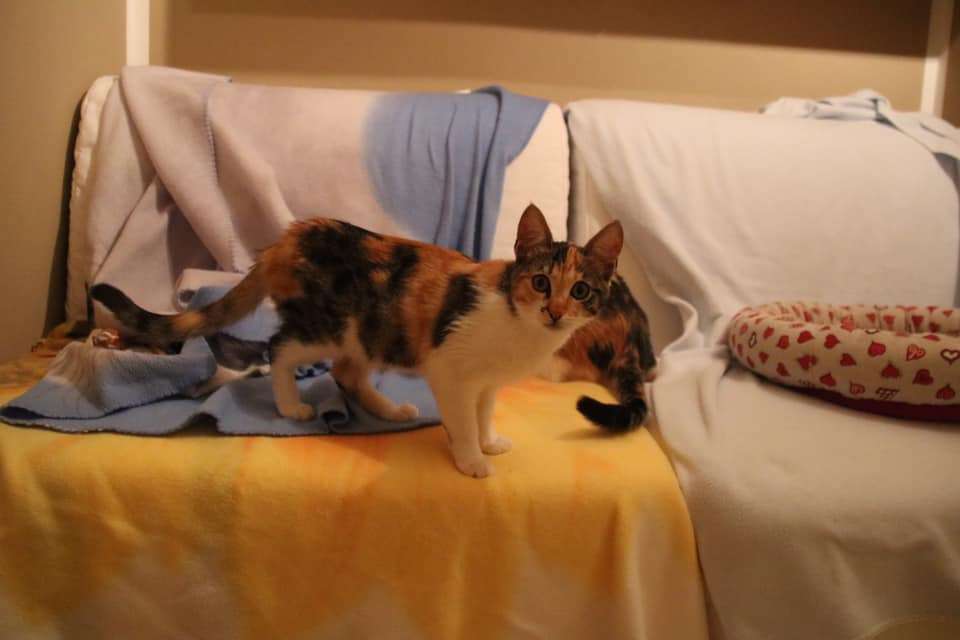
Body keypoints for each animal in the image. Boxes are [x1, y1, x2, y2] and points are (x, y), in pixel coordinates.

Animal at [91, 204, 649, 478]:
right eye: (539, 283)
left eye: (580, 291)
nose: (555, 313)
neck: (517, 326)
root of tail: (290, 237)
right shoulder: (448, 368)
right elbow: (461, 418)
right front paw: (471, 458)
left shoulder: (487, 382)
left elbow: (485, 409)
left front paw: (489, 439)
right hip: (328, 326)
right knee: (280, 348)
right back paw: (291, 405)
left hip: (366, 335)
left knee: (345, 371)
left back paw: (388, 410)